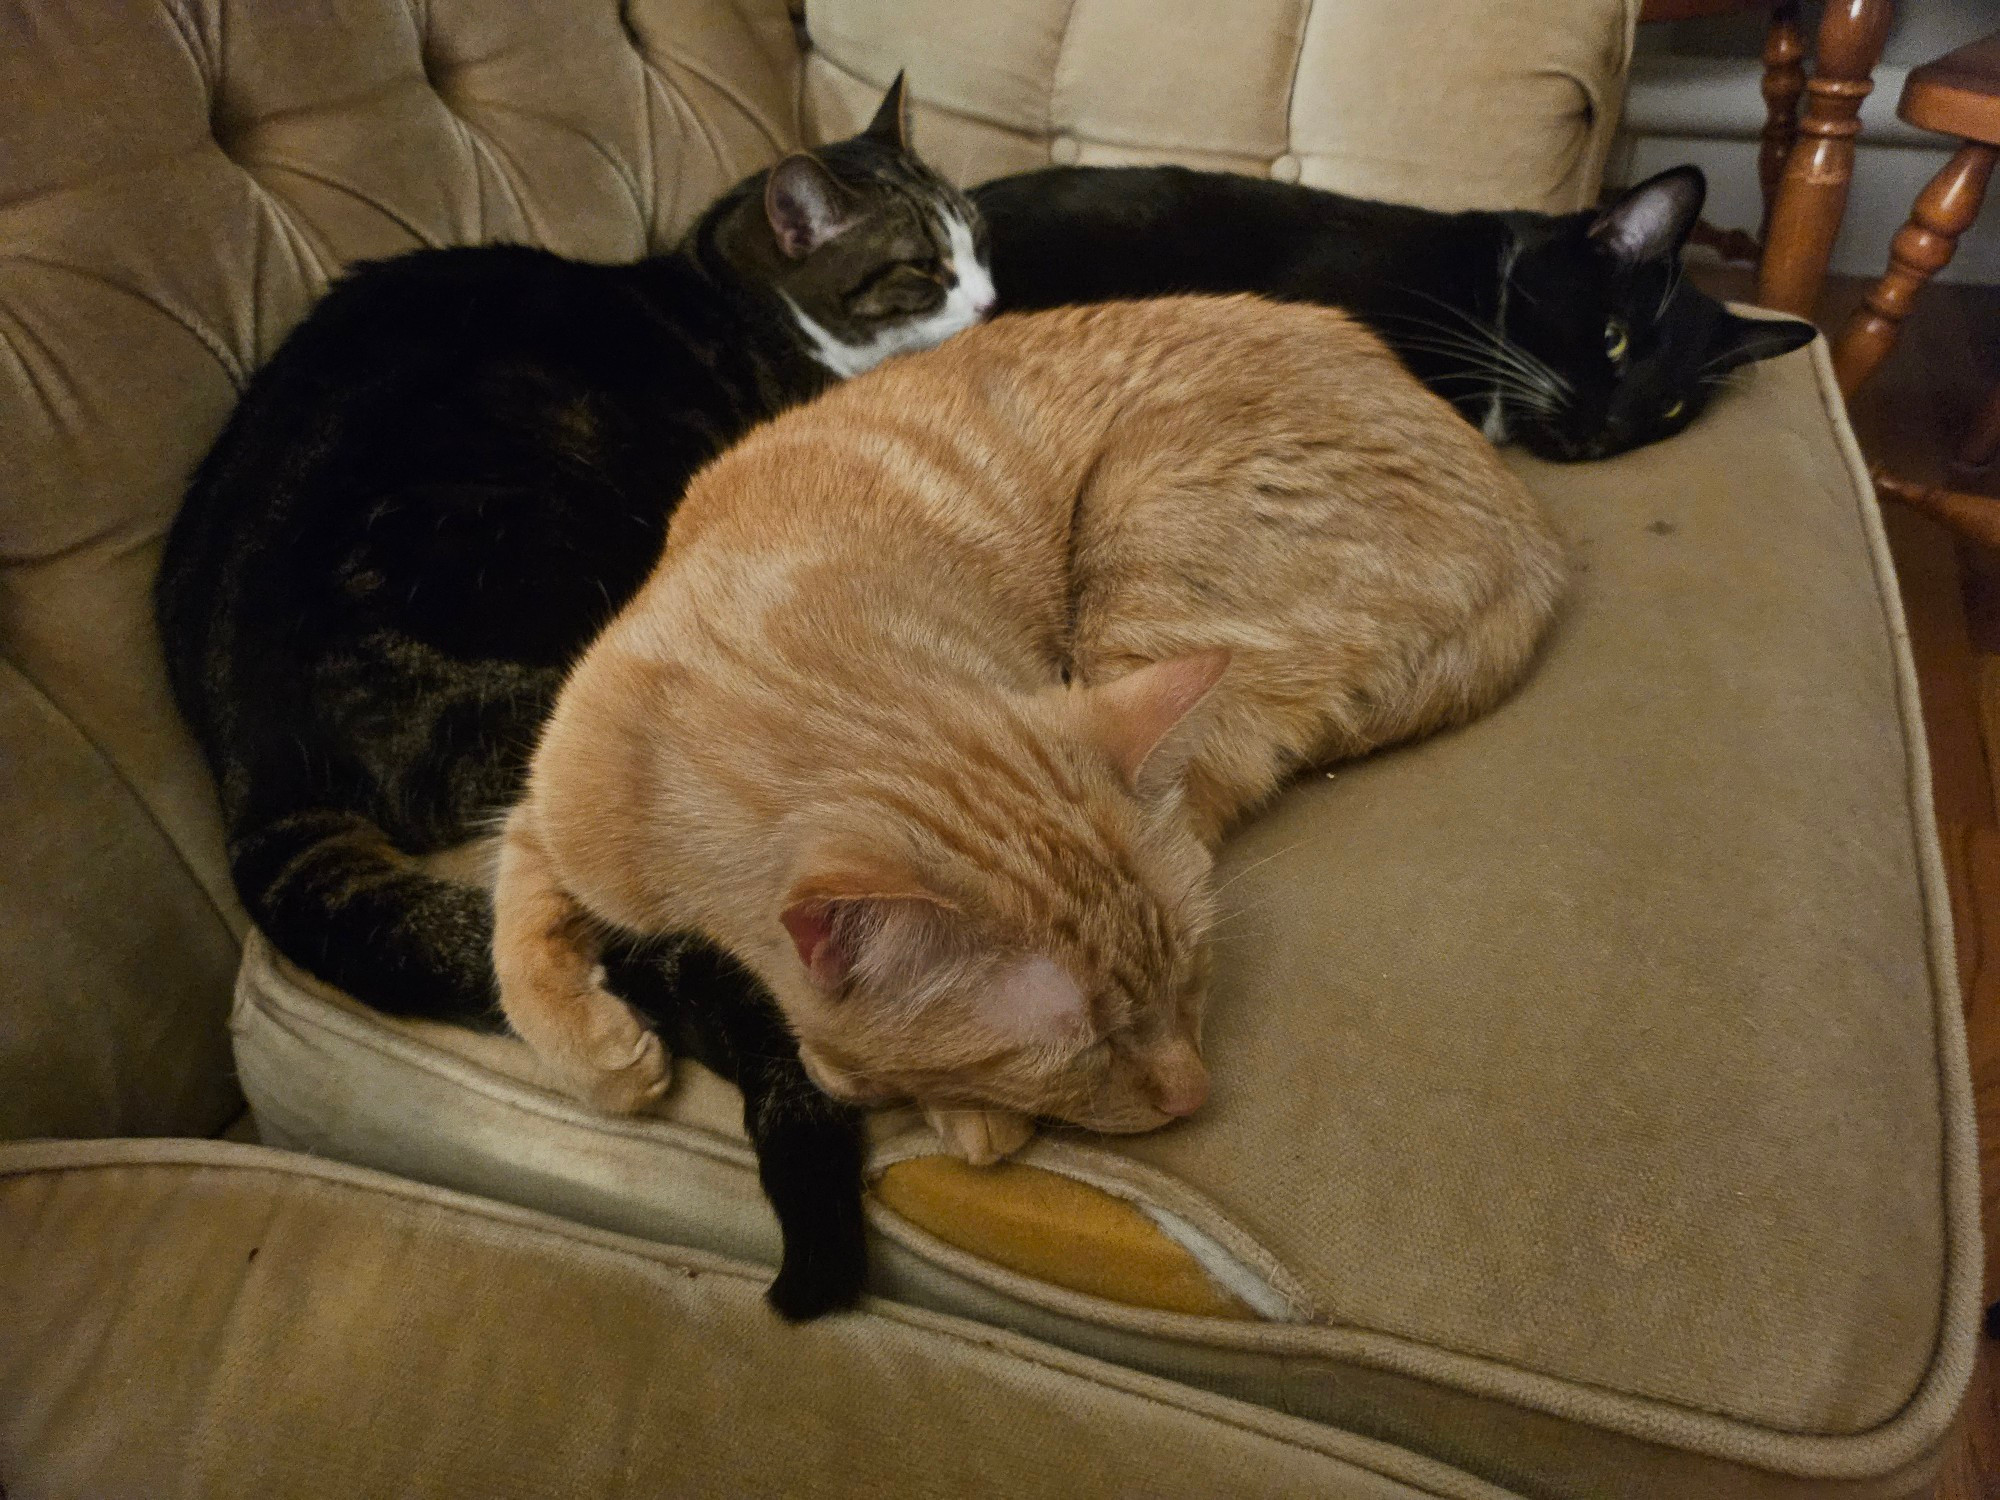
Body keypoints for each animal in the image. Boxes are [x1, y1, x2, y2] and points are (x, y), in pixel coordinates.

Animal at [492, 290, 1568, 1160]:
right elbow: (518, 925)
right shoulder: (555, 807)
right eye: (1082, 1044)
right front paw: (596, 1051)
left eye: (1191, 975)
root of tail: (1538, 539)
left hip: (1142, 548)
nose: (1194, 1095)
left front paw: (945, 1104)